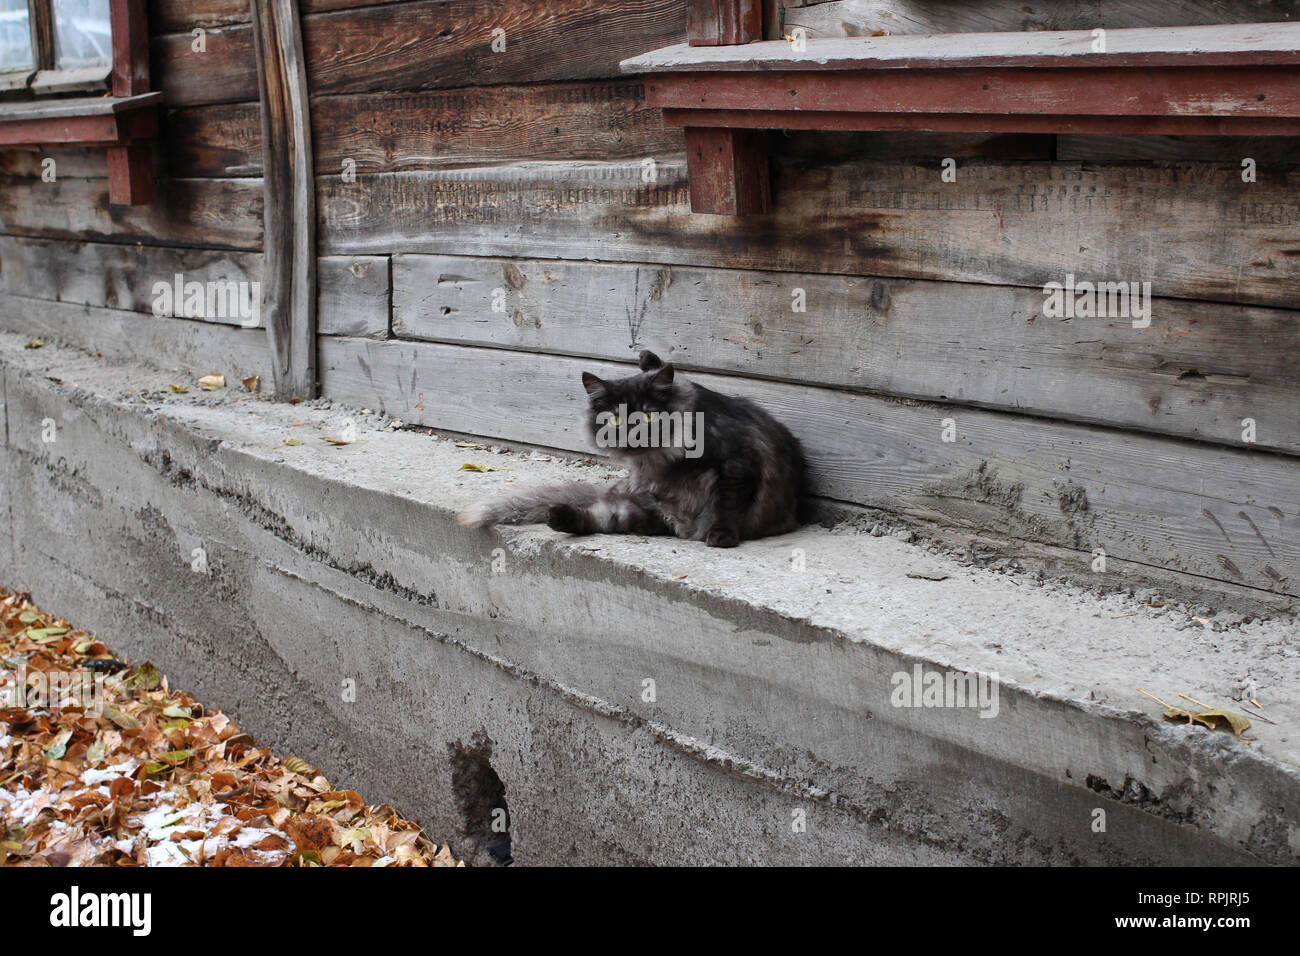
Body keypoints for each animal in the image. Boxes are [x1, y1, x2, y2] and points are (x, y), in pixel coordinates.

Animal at [454, 348, 800, 546]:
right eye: (615, 419)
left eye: (647, 415)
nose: (632, 434)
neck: (659, 461)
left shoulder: (737, 463)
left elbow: (726, 506)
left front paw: (721, 537)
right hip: (639, 509)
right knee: (598, 519)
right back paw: (559, 516)